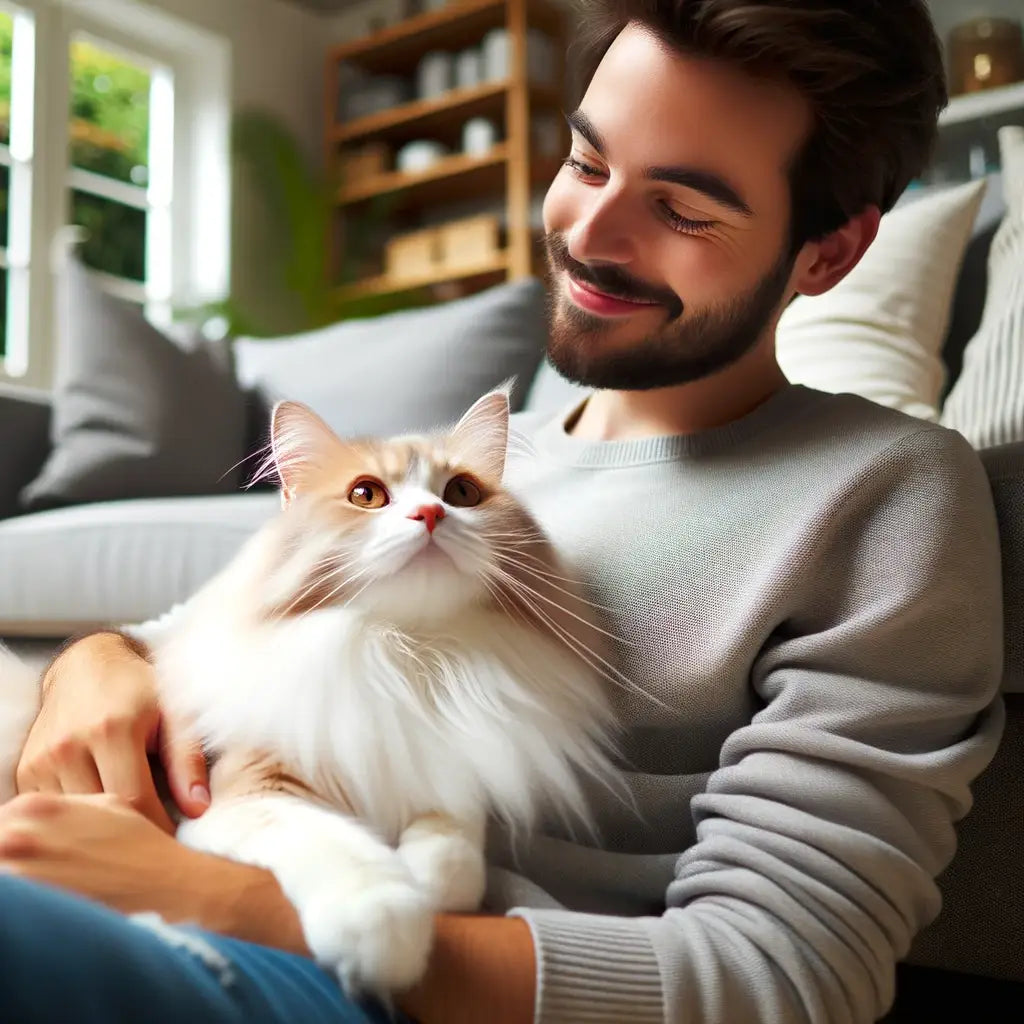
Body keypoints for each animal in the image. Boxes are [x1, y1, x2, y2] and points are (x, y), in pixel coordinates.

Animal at [0, 389, 622, 999]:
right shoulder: (248, 796)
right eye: (366, 495)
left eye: (462, 493)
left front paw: (432, 886)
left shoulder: (445, 769)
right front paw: (389, 931)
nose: (431, 514)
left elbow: (452, 848)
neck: (406, 655)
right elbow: (343, 854)